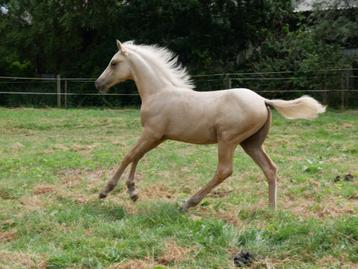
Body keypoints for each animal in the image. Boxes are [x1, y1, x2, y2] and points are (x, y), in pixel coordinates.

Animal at [94, 40, 324, 210]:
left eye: (114, 63)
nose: (98, 83)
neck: (159, 92)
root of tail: (263, 100)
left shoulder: (151, 133)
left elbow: (129, 155)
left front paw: (106, 190)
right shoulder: (158, 136)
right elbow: (138, 156)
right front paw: (132, 192)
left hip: (228, 140)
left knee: (224, 170)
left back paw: (188, 203)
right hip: (251, 143)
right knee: (270, 168)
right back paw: (271, 209)